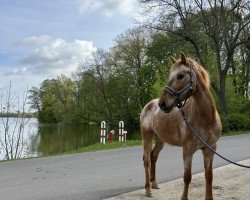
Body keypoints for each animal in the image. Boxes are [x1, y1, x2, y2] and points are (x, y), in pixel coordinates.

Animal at [140, 52, 222, 199]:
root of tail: (148, 105)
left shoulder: (210, 149)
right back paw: (148, 190)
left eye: (180, 75)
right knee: (146, 160)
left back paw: (154, 183)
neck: (206, 119)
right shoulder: (187, 149)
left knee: (153, 156)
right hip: (147, 136)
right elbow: (187, 177)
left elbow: (209, 176)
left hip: (160, 139)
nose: (162, 104)